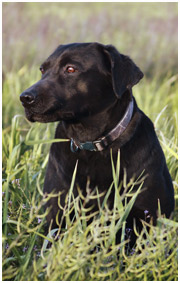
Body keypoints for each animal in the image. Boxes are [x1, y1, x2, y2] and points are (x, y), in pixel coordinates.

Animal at [20, 42, 174, 246]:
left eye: (71, 69)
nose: (25, 98)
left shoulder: (145, 215)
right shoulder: (57, 213)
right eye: (42, 70)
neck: (91, 143)